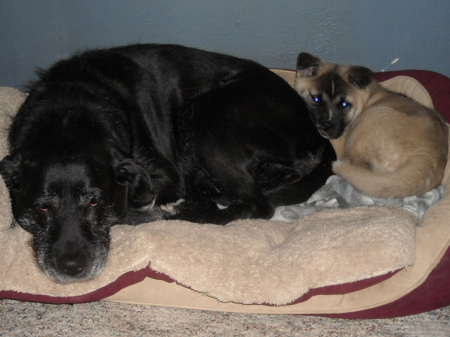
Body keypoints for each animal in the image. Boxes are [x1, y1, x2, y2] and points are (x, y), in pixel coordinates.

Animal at [0, 44, 334, 280]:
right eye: (43, 207)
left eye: (95, 202)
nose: (72, 268)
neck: (69, 112)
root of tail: (316, 135)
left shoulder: (164, 174)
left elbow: (130, 209)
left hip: (204, 117)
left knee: (257, 205)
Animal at [294, 52, 448, 198]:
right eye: (316, 99)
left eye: (344, 104)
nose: (326, 127)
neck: (366, 99)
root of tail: (427, 162)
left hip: (369, 118)